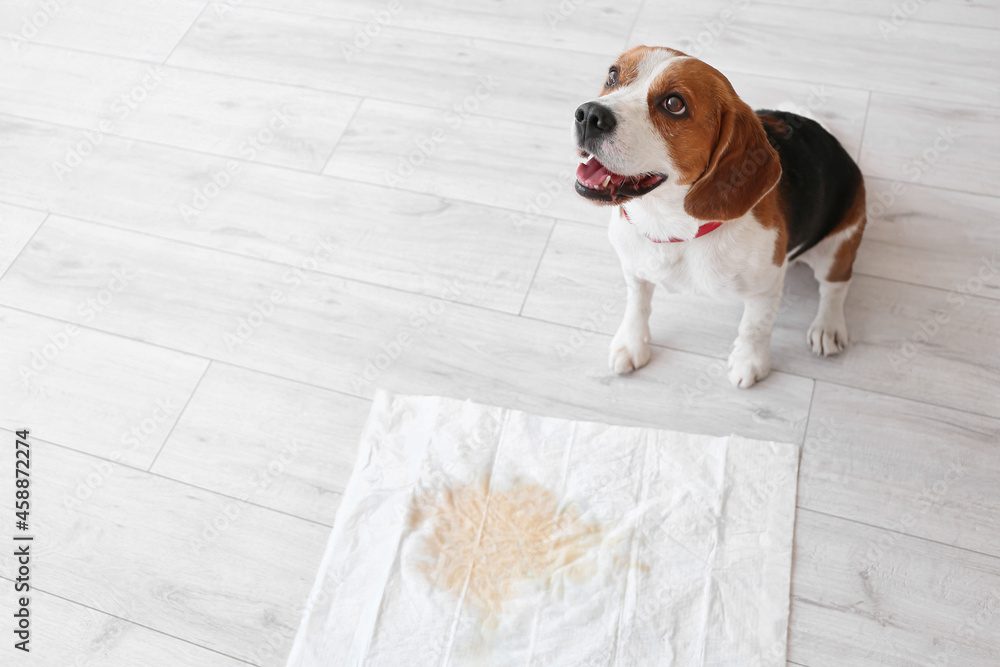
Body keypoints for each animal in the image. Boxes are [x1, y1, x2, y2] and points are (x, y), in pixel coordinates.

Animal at [580, 45, 868, 386]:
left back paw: (828, 326)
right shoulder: (634, 269)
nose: (588, 115)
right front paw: (631, 342)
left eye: (674, 104)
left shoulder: (765, 289)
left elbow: (754, 328)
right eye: (613, 75)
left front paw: (749, 362)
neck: (677, 230)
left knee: (836, 285)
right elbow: (637, 306)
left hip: (838, 244)